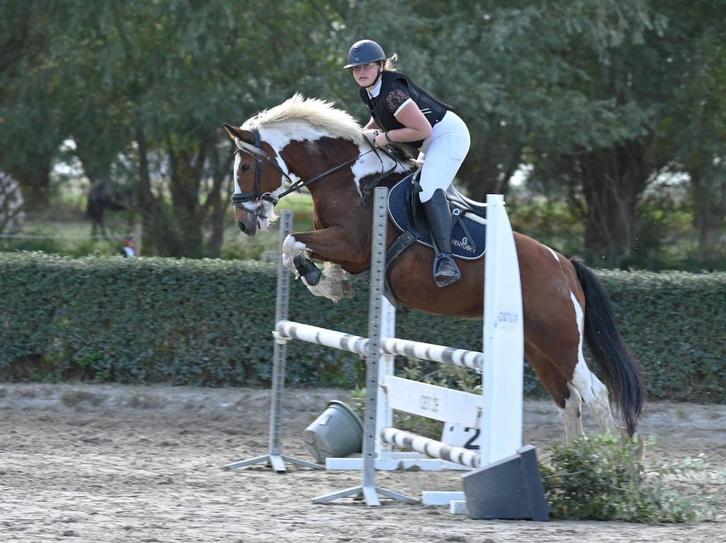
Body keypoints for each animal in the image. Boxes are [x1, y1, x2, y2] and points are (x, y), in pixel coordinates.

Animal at [223, 94, 644, 440]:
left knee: (595, 394)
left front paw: (319, 280)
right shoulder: (348, 252)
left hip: (561, 339)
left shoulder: (352, 245)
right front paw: (328, 282)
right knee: (569, 402)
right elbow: (295, 250)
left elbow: (291, 243)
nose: (244, 223)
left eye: (244, 166)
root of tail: (565, 266)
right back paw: (576, 464)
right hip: (538, 346)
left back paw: (613, 468)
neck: (349, 178)